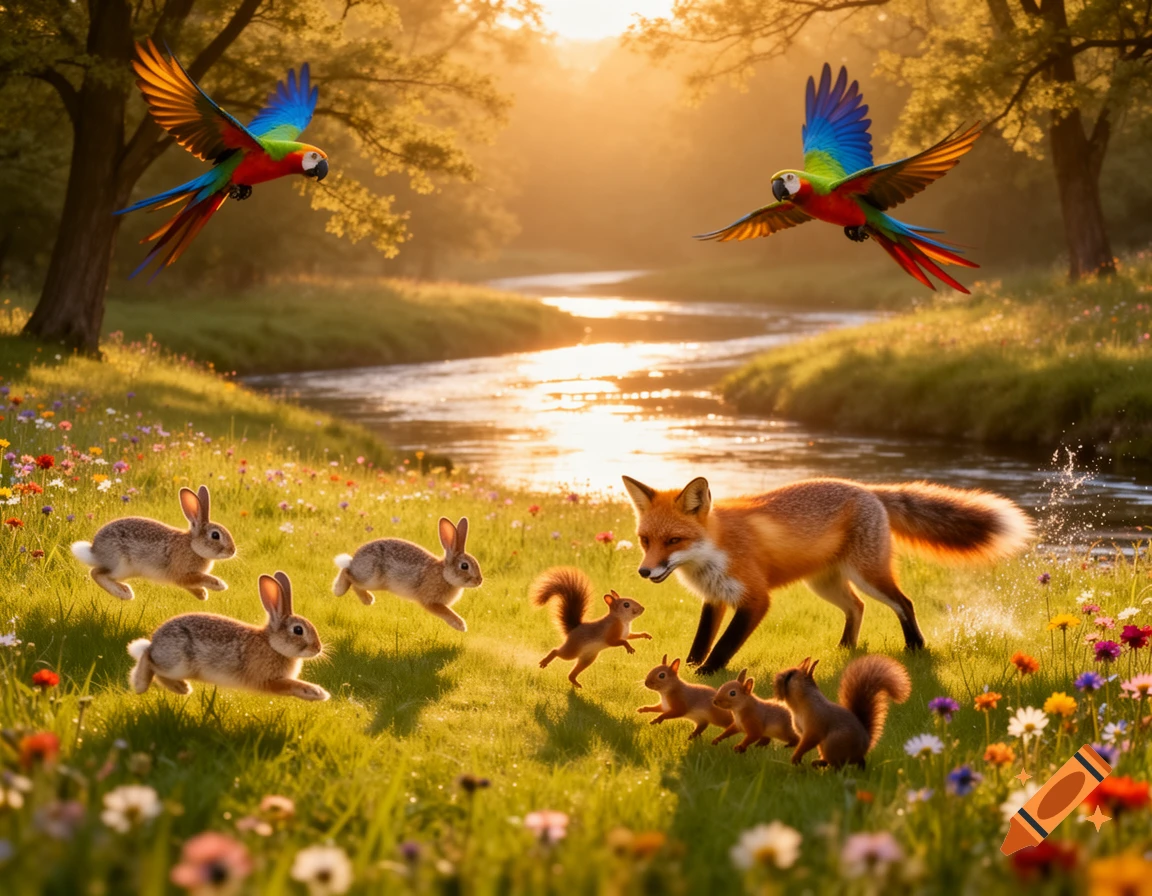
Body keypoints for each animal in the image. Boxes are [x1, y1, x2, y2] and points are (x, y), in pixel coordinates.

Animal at [72, 485, 236, 601]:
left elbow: (191, 585)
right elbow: (199, 578)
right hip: (120, 565)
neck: (192, 546)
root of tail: (94, 551)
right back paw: (124, 593)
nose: (232, 551)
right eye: (215, 535)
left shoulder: (183, 580)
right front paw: (220, 584)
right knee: (96, 573)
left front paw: (202, 595)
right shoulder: (181, 573)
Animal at [127, 571, 329, 701]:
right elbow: (291, 685)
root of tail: (155, 642)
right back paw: (141, 685)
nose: (318, 649)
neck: (272, 644)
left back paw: (182, 688)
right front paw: (318, 693)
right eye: (298, 630)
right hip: (177, 663)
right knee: (148, 659)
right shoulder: (269, 680)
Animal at [332, 517, 481, 632]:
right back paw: (346, 592)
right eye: (464, 566)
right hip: (371, 578)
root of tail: (355, 560)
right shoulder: (430, 601)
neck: (444, 575)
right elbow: (446, 611)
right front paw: (461, 626)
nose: (479, 581)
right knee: (348, 574)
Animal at [622, 475, 1033, 675]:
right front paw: (690, 666)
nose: (644, 571)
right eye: (645, 540)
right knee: (857, 607)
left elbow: (724, 645)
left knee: (905, 602)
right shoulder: (716, 597)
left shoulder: (755, 599)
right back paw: (845, 649)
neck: (715, 550)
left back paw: (915, 647)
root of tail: (866, 488)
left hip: (868, 574)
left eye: (673, 540)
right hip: (825, 584)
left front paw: (705, 675)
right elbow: (701, 640)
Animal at [774, 655, 911, 768]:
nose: (777, 677)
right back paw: (819, 763)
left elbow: (810, 740)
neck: (798, 705)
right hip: (825, 746)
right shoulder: (802, 731)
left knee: (839, 764)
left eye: (790, 675)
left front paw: (795, 757)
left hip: (833, 744)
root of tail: (865, 746)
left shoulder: (815, 724)